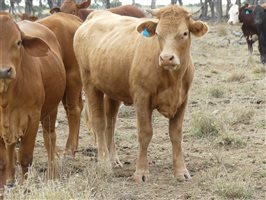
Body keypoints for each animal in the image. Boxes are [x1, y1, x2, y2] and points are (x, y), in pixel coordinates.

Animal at [0, 12, 66, 195]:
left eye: (18, 42)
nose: (4, 71)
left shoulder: (32, 117)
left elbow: (25, 157)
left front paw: (25, 189)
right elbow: (2, 160)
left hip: (51, 111)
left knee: (49, 139)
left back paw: (52, 175)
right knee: (11, 146)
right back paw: (10, 179)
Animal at [74, 5, 209, 182]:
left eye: (184, 33)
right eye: (158, 33)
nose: (166, 58)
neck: (172, 79)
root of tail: (94, 16)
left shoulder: (182, 101)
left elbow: (176, 135)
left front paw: (181, 172)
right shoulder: (142, 98)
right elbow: (145, 133)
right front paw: (141, 172)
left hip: (112, 90)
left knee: (111, 122)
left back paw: (113, 159)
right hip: (89, 83)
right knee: (99, 123)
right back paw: (104, 163)